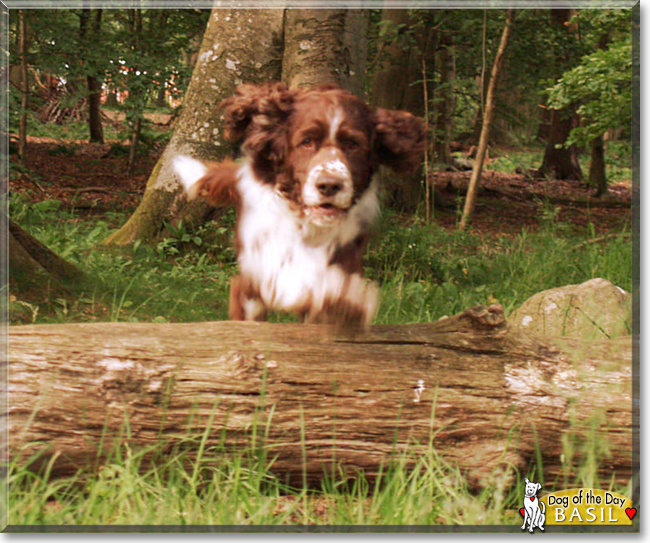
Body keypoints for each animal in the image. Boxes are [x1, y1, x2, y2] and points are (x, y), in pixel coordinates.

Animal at [175, 82, 422, 328]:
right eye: (307, 141)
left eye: (353, 144)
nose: (329, 185)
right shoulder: (266, 241)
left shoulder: (346, 245)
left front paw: (343, 304)